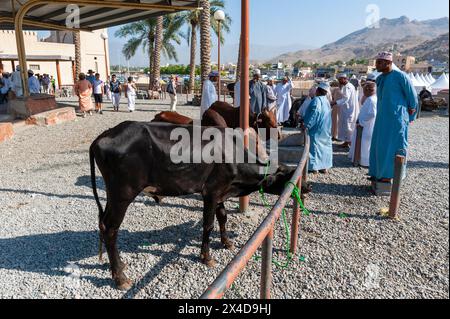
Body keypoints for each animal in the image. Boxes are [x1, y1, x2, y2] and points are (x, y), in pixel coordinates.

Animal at [90, 122, 300, 290]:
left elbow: (223, 216)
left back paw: (116, 265)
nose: (304, 185)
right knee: (110, 229)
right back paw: (120, 277)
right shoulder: (211, 192)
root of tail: (104, 135)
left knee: (102, 223)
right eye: (288, 174)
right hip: (122, 195)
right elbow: (208, 224)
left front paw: (226, 242)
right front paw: (206, 257)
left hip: (113, 196)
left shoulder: (220, 193)